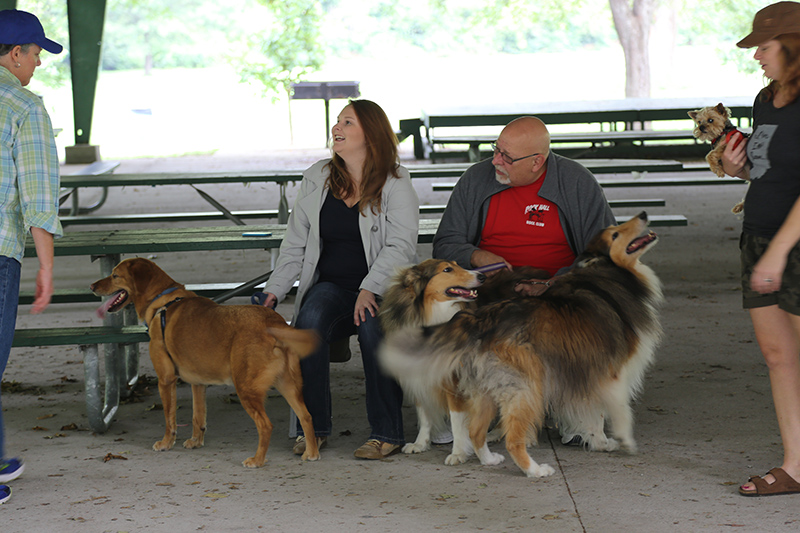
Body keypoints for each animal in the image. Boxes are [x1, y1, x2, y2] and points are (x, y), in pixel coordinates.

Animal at [90, 258, 318, 466]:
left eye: (115, 275)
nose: (92, 286)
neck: (162, 301)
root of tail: (273, 323)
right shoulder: (198, 383)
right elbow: (198, 416)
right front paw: (195, 441)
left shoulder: (166, 379)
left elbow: (169, 418)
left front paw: (166, 443)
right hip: (288, 385)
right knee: (306, 416)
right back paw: (311, 453)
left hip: (246, 387)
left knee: (266, 425)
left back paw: (257, 460)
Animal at [382, 213, 664, 478]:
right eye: (615, 234)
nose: (643, 214)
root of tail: (480, 321)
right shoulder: (611, 369)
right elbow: (616, 409)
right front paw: (622, 440)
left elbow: (595, 413)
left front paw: (600, 442)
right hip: (526, 387)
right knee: (511, 439)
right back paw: (536, 470)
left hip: (487, 388)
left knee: (476, 431)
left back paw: (490, 458)